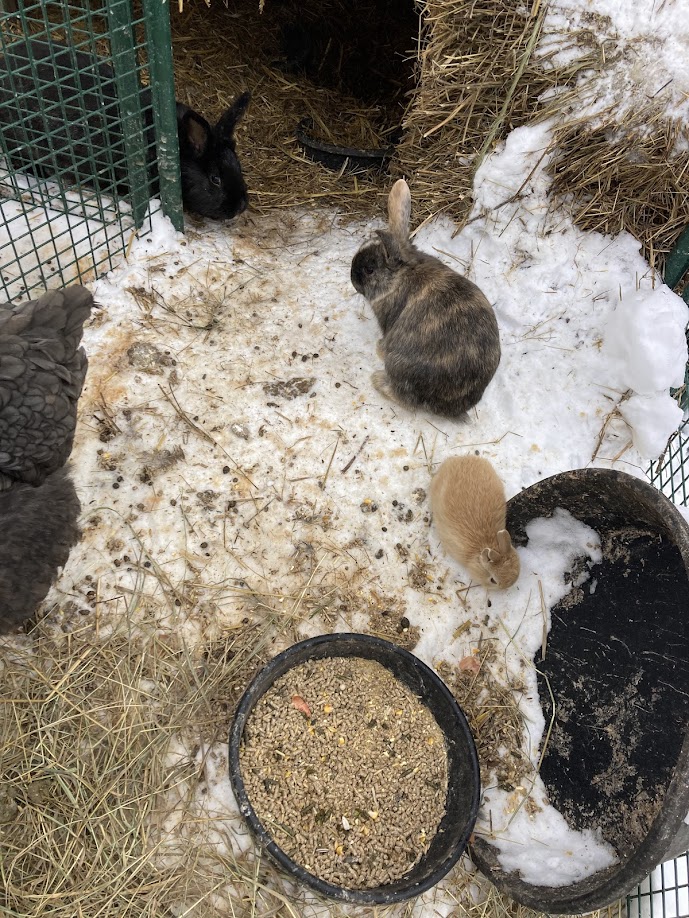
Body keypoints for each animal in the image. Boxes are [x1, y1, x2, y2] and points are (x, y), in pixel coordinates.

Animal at [350, 179, 500, 418]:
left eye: (370, 269)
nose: (352, 278)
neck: (400, 276)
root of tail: (450, 407)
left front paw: (379, 348)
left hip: (399, 366)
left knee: (405, 399)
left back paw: (378, 379)